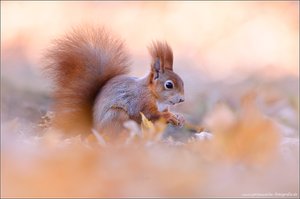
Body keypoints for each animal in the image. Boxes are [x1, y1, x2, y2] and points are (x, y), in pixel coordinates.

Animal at [44, 25, 185, 136]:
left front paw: (179, 118)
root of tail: (93, 130)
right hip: (117, 115)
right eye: (169, 85)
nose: (182, 100)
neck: (155, 96)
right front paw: (170, 116)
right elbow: (150, 114)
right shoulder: (140, 101)